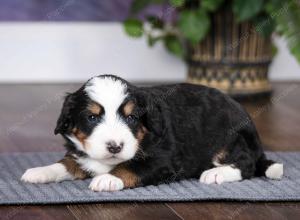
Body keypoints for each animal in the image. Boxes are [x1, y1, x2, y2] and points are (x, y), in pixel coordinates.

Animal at [21, 75, 284, 192]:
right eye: (92, 117)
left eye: (131, 118)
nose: (115, 147)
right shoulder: (81, 154)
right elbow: (66, 163)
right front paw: (40, 171)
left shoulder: (163, 160)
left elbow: (130, 168)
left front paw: (108, 178)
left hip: (229, 139)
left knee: (246, 164)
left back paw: (215, 173)